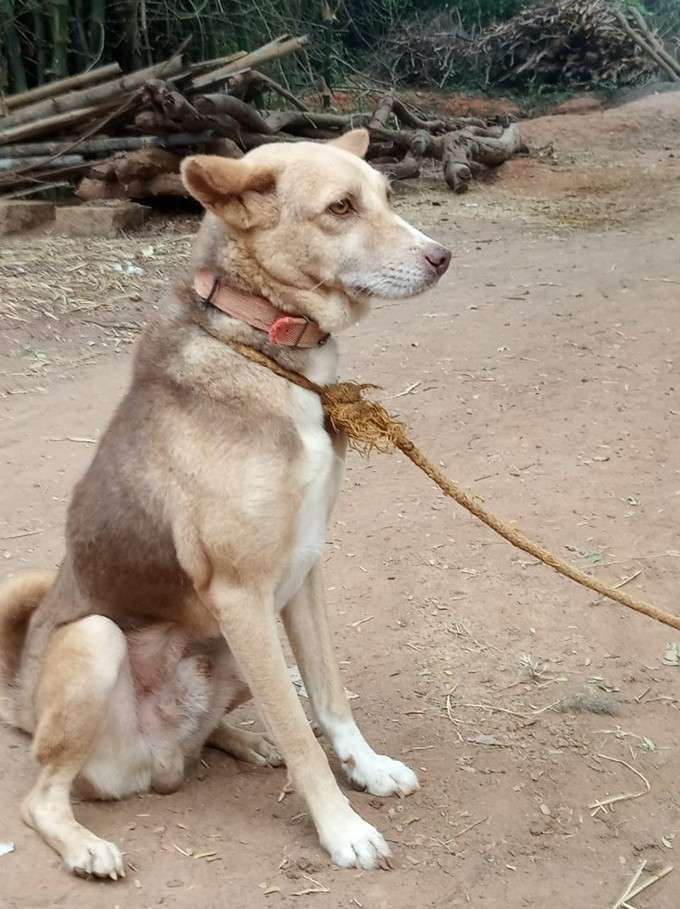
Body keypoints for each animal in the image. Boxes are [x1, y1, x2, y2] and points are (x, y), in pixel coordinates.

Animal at [1, 124, 452, 876]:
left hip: (237, 651)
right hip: (100, 642)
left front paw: (368, 768)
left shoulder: (303, 571)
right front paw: (341, 827)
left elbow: (328, 697)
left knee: (233, 723)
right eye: (340, 208)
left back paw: (244, 741)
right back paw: (87, 846)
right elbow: (304, 740)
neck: (266, 348)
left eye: (388, 196)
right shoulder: (242, 592)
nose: (442, 256)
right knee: (41, 797)